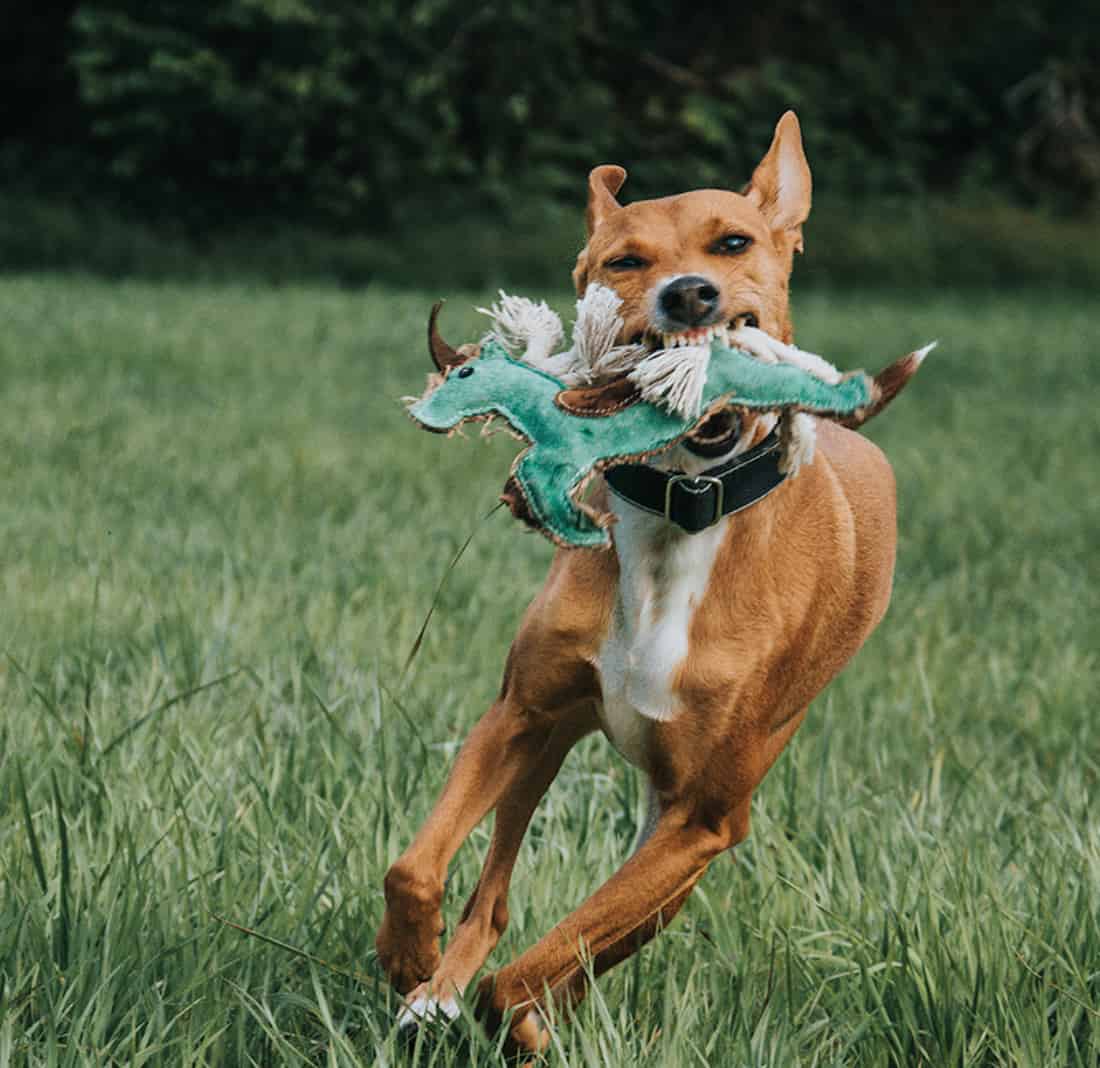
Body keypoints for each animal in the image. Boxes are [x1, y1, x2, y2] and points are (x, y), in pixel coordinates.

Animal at [376, 110, 919, 1051]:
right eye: (625, 261)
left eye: (733, 242)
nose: (689, 295)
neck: (680, 512)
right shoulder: (519, 713)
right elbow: (413, 868)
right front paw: (411, 962)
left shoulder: (702, 821)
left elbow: (533, 976)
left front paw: (514, 1022)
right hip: (549, 744)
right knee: (494, 897)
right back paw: (438, 986)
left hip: (689, 831)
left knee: (576, 946)